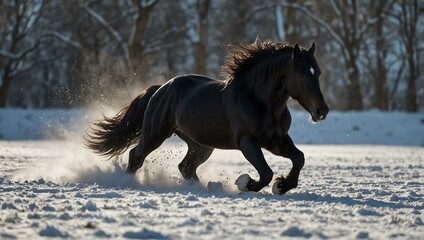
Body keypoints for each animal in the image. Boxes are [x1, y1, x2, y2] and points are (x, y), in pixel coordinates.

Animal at [86, 38, 330, 194]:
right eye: (301, 74)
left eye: (317, 72)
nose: (322, 111)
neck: (259, 101)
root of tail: (160, 88)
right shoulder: (247, 141)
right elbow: (266, 172)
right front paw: (245, 183)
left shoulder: (276, 140)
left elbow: (299, 158)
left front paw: (282, 185)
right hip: (155, 134)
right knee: (136, 156)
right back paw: (128, 182)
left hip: (200, 145)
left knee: (186, 167)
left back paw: (208, 186)